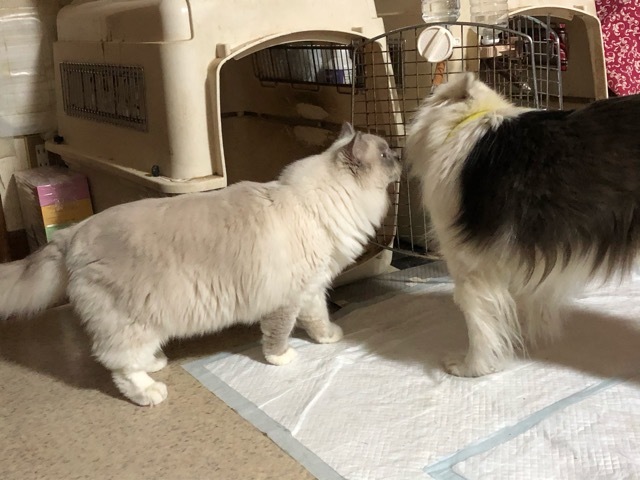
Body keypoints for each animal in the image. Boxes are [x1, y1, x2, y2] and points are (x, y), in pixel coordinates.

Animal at [0, 123, 401, 406]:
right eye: (385, 156)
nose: (398, 153)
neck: (318, 204)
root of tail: (74, 232)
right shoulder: (286, 299)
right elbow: (278, 335)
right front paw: (282, 359)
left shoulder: (312, 289)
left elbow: (318, 319)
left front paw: (329, 337)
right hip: (133, 320)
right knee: (119, 364)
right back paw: (151, 392)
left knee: (128, 357)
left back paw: (155, 363)